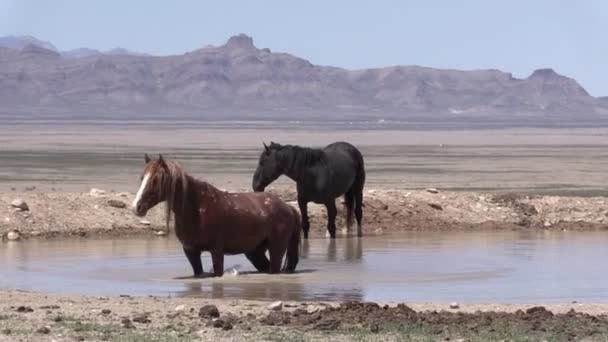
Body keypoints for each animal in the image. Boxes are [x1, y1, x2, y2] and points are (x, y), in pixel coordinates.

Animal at [134, 154, 302, 276]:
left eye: (156, 179)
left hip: (276, 248)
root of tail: (287, 207)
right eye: (142, 178)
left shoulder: (216, 251)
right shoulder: (191, 252)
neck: (197, 210)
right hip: (255, 251)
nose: (137, 206)